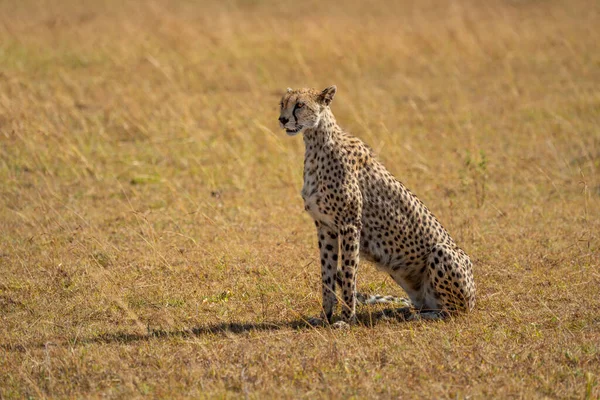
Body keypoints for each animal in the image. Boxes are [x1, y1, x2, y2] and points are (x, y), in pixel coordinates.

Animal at [278, 86, 476, 326]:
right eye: (283, 103)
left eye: (300, 105)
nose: (282, 119)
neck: (316, 142)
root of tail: (474, 300)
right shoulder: (325, 227)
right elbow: (327, 274)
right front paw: (325, 316)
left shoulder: (350, 224)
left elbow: (348, 274)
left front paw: (347, 319)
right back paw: (407, 311)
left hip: (444, 253)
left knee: (454, 311)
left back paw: (422, 316)